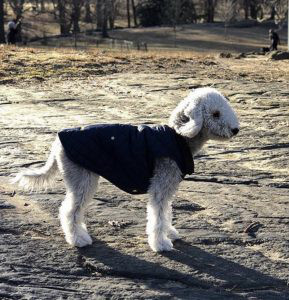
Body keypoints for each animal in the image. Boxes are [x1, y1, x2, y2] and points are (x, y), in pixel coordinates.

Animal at [13, 88, 238, 252]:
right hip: (82, 178)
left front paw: (170, 232)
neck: (178, 136)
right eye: (215, 114)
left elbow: (166, 212)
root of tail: (57, 143)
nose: (235, 130)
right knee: (70, 211)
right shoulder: (160, 185)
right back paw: (78, 239)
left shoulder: (168, 186)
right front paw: (161, 244)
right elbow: (157, 216)